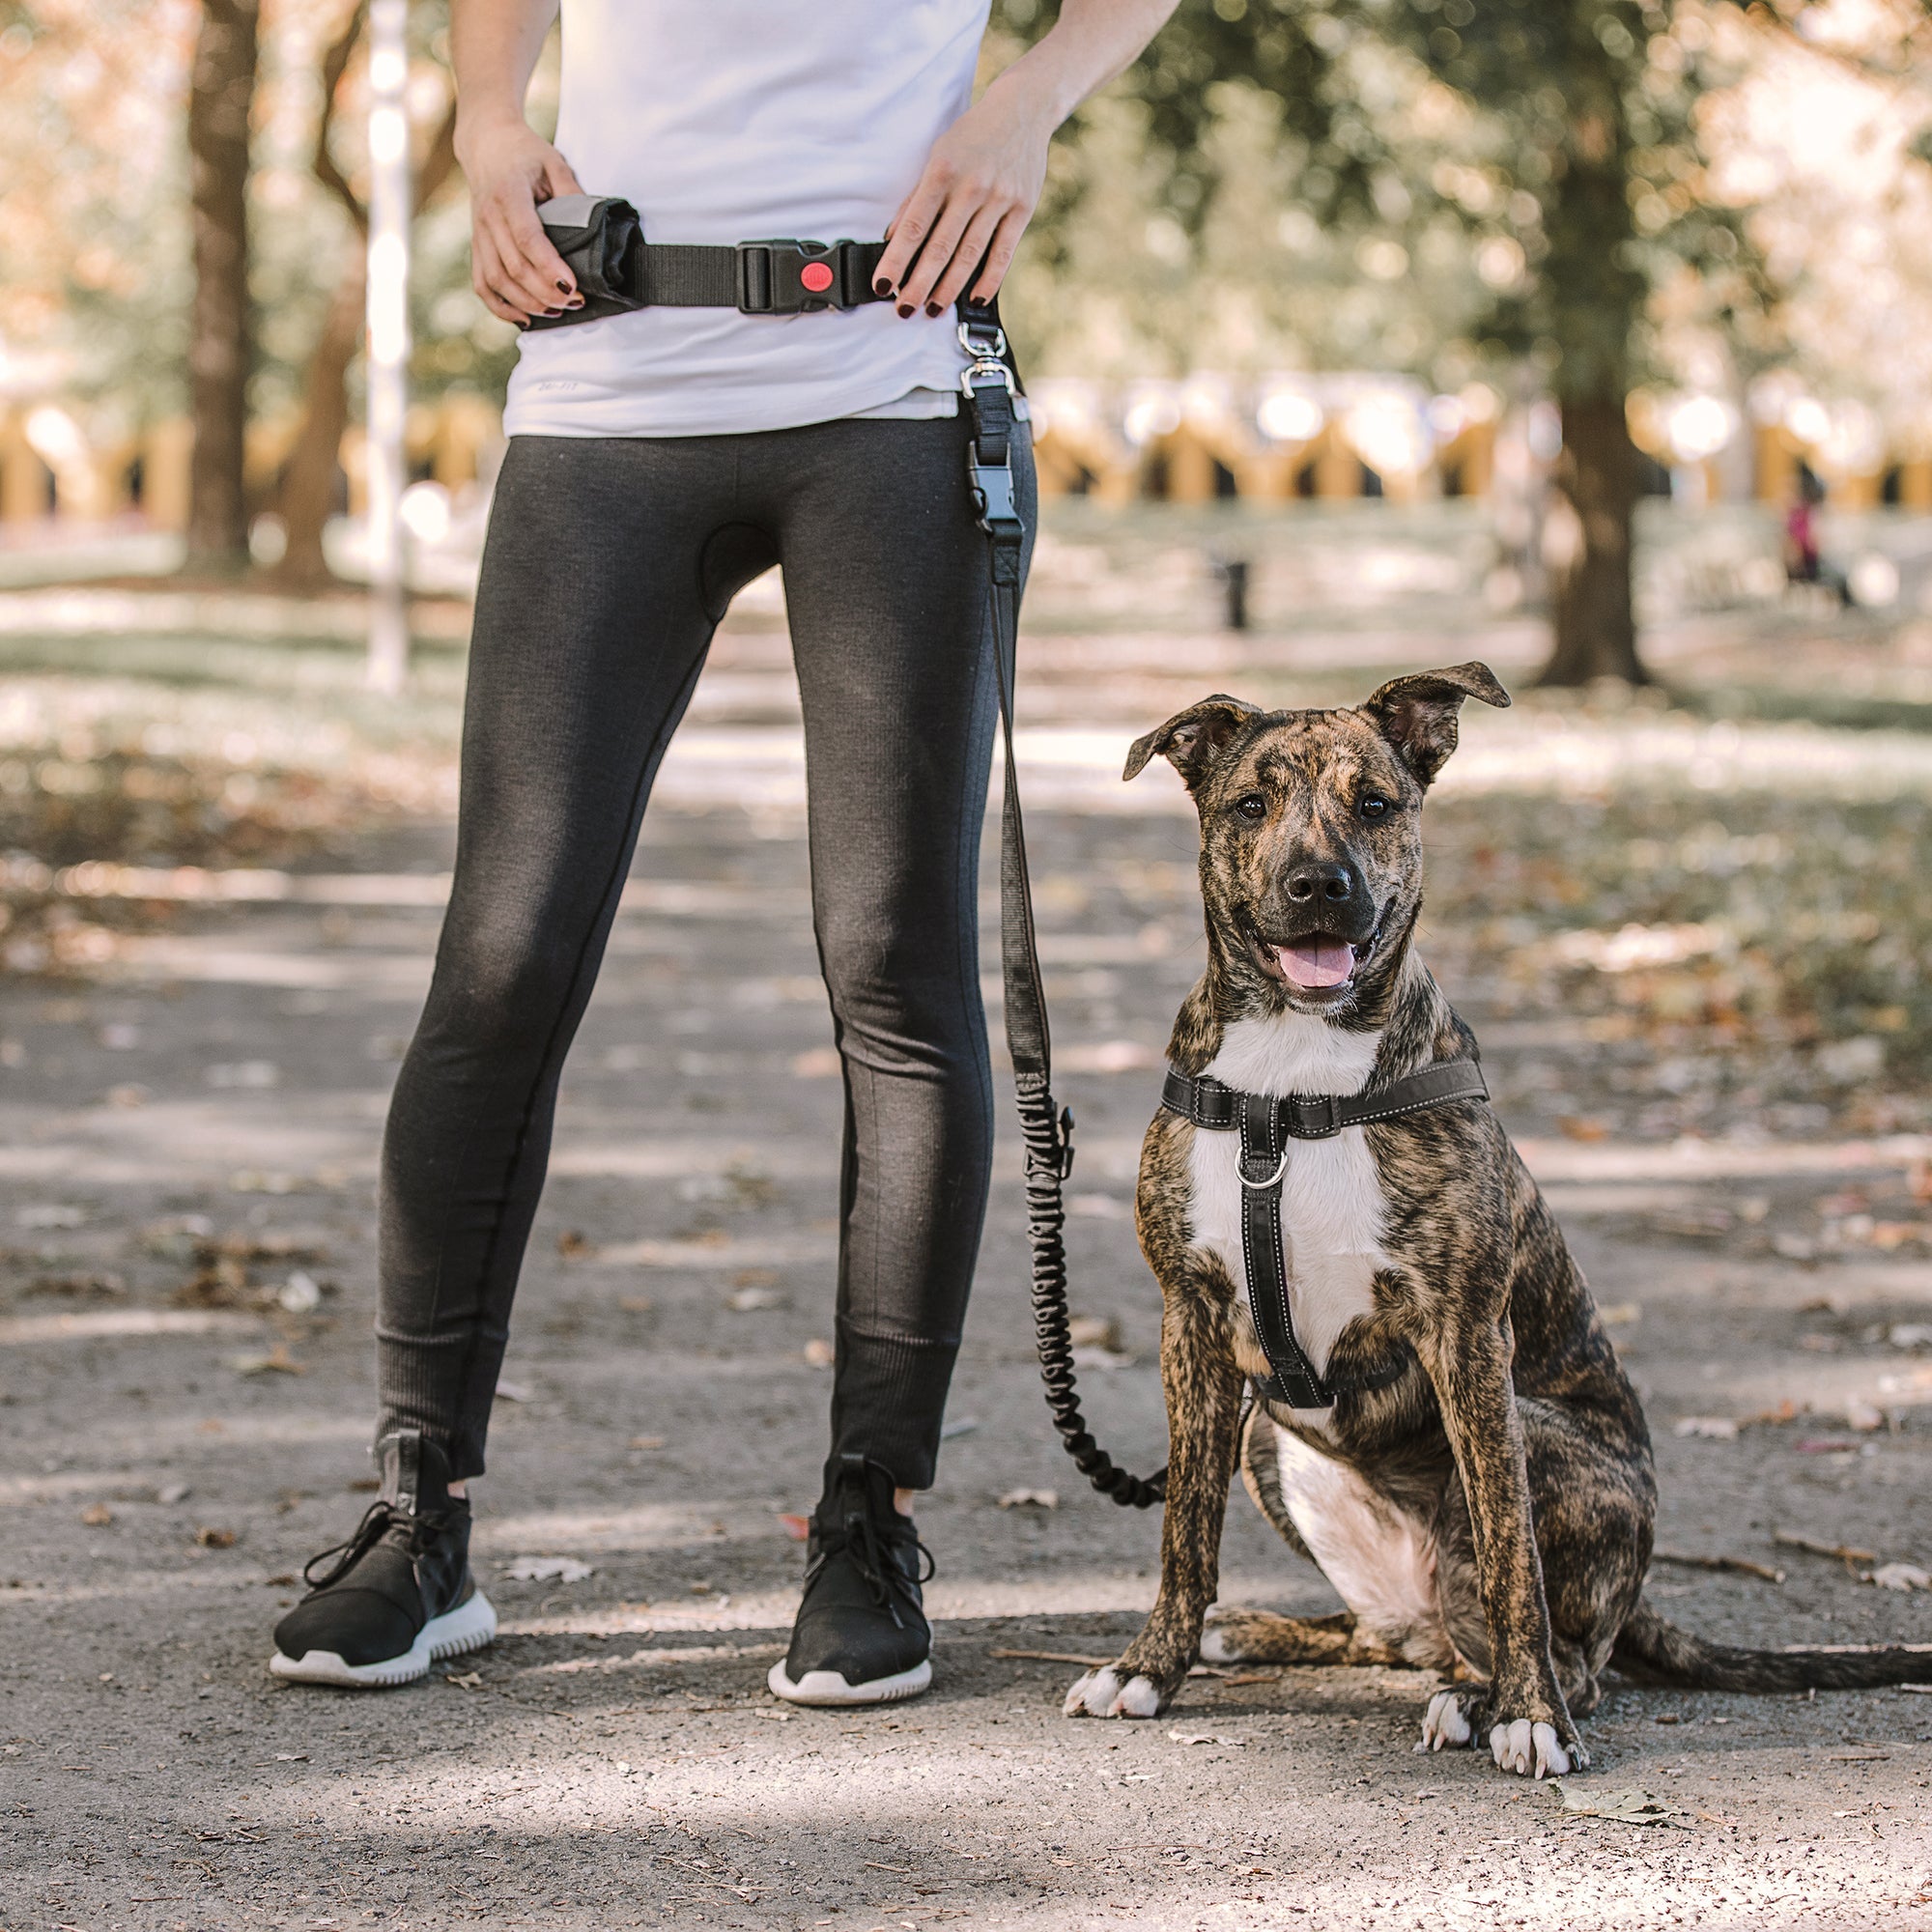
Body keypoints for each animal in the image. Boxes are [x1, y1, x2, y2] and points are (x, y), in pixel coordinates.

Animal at [1066, 668, 1932, 1777]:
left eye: (1375, 804)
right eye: (1249, 805)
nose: (1317, 886)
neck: (1293, 1082)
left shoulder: (1467, 1334)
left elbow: (1509, 1548)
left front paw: (1531, 1716)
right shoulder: (1194, 1323)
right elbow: (1184, 1527)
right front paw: (1148, 1667)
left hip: (1538, 1440)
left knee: (1546, 1639)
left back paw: (1490, 1696)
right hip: (1267, 1432)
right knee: (1388, 1634)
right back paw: (1262, 1632)